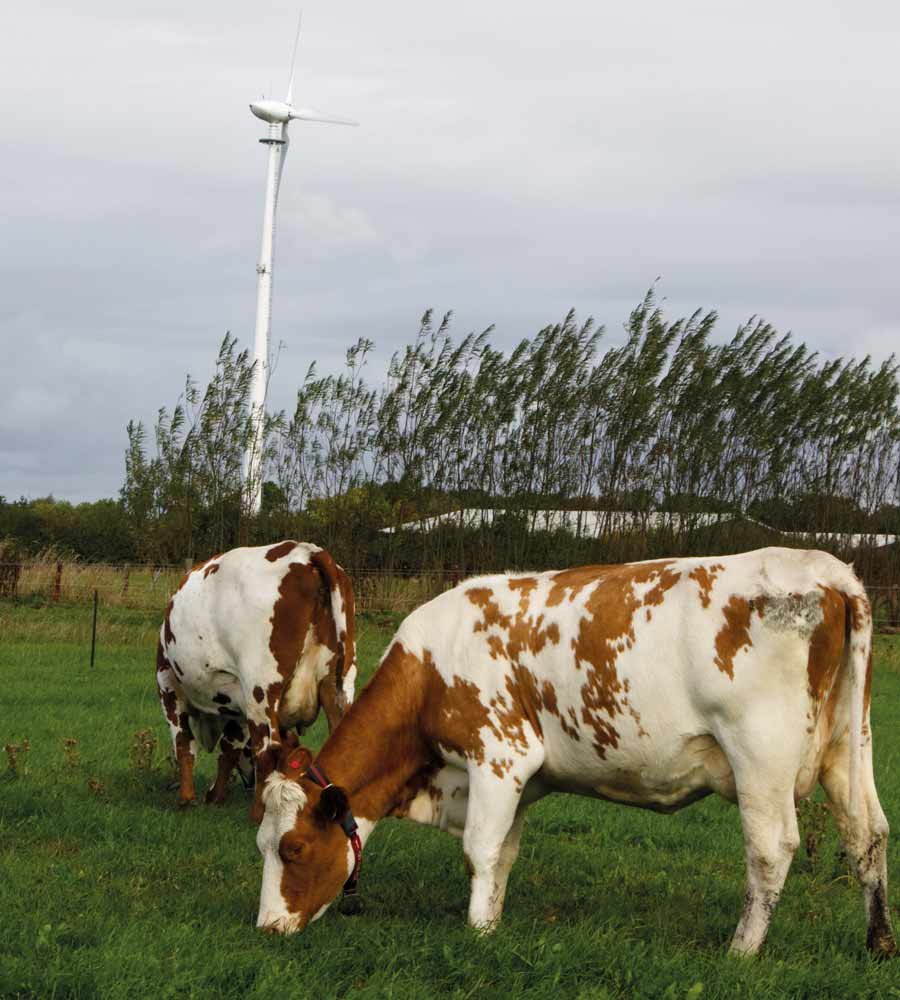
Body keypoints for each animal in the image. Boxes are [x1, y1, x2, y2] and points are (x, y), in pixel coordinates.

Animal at [251, 552, 892, 956]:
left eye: (293, 847)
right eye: (261, 843)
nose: (266, 929)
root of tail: (826, 570)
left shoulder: (500, 755)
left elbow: (479, 850)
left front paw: (477, 935)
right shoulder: (518, 781)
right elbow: (503, 855)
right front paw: (493, 922)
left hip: (760, 756)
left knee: (771, 848)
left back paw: (742, 951)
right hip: (848, 745)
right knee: (868, 834)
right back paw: (879, 943)